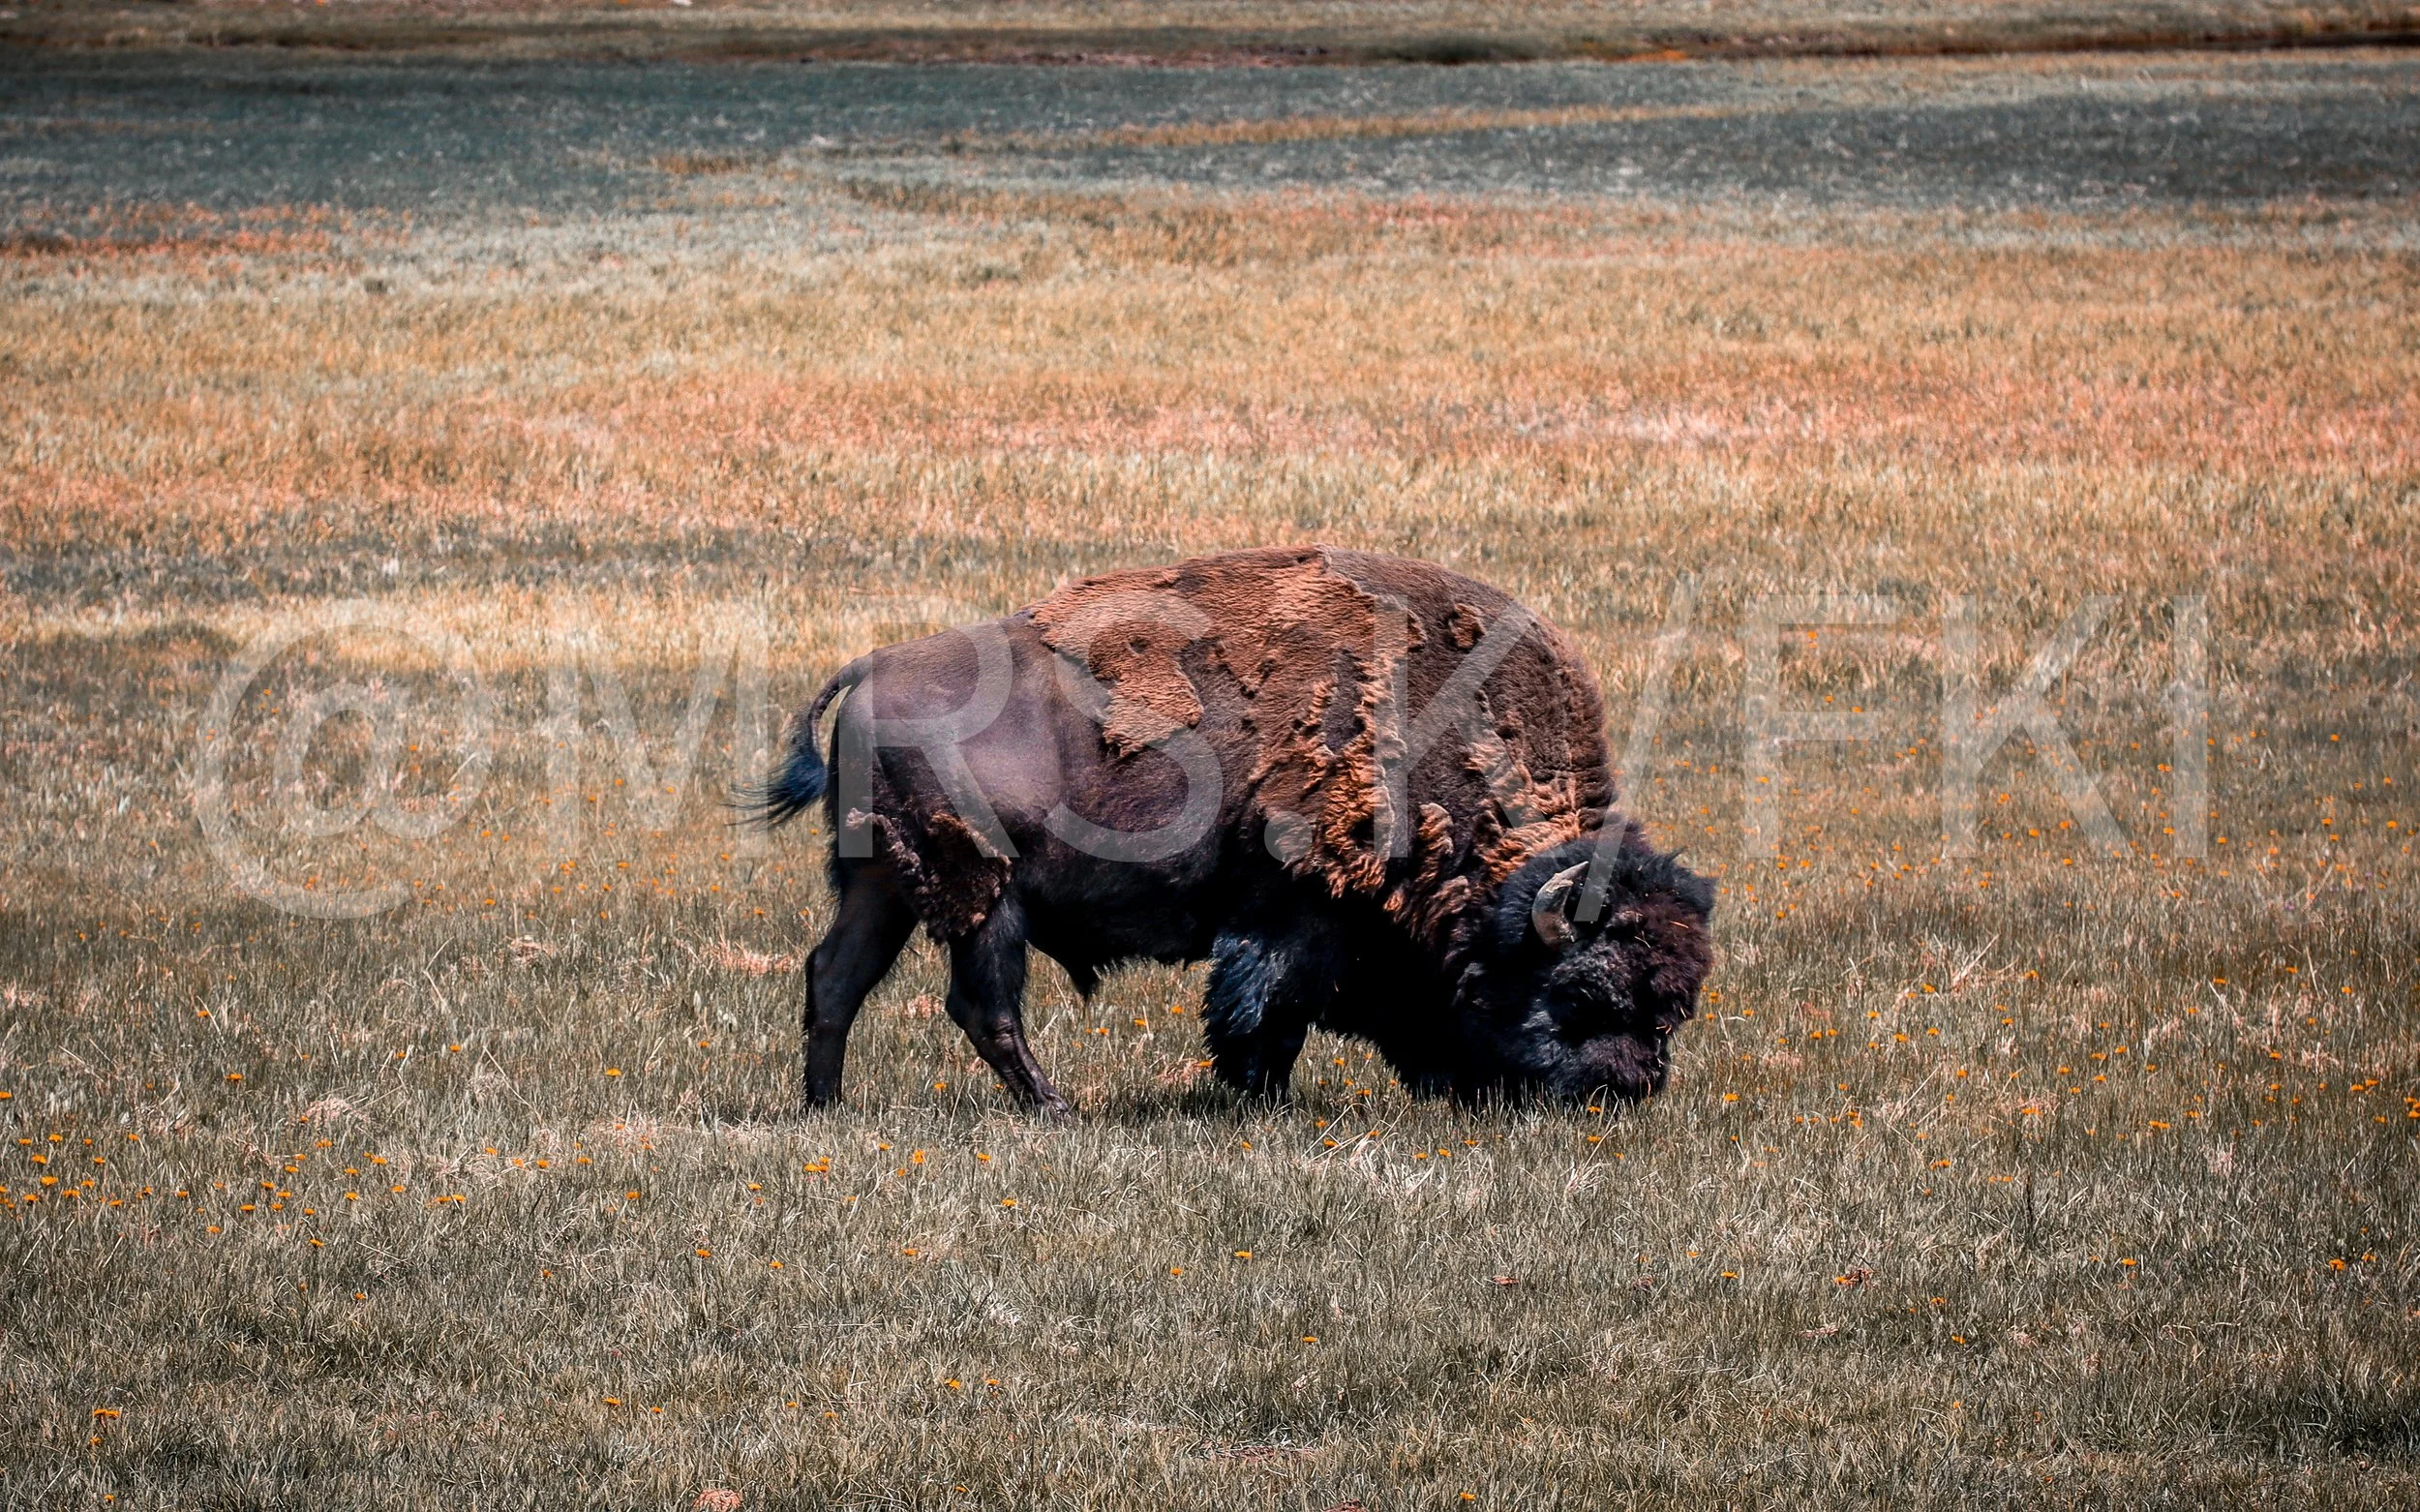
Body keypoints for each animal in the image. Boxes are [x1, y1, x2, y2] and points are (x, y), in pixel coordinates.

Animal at [754, 546, 1713, 1113]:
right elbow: (1267, 1008)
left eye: (1675, 1009)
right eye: (1582, 995)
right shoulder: (1294, 912)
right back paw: (1056, 1109)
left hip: (883, 886)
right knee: (980, 1006)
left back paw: (827, 1106)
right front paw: (1261, 1100)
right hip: (986, 895)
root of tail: (873, 667)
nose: (1623, 1092)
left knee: (835, 978)